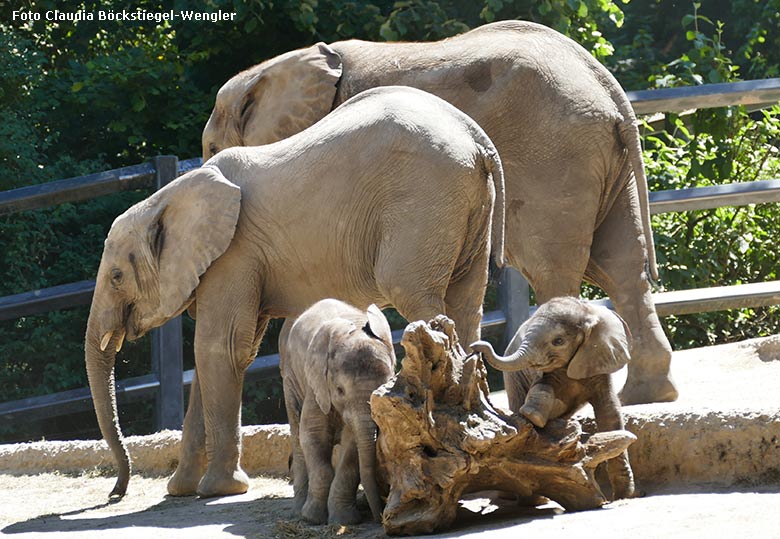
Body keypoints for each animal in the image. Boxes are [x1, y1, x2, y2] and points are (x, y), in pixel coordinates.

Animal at [82, 86, 502, 500]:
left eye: (116, 276)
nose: (115, 493)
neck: (165, 199)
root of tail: (477, 139)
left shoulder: (234, 252)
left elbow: (220, 348)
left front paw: (219, 489)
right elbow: (215, 357)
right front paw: (181, 490)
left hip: (423, 202)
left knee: (415, 294)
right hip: (466, 210)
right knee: (467, 303)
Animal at [201, 19, 676, 408]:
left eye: (210, 147)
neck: (278, 67)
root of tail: (608, 88)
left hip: (555, 157)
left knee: (554, 268)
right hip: (602, 159)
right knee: (621, 264)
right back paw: (646, 394)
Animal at [278, 298, 396, 524]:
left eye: (385, 387)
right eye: (340, 390)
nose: (380, 517)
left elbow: (352, 448)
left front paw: (343, 521)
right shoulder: (317, 385)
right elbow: (312, 436)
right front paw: (312, 518)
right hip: (290, 378)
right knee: (297, 436)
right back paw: (298, 511)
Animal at [472, 298, 636, 500]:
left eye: (558, 341)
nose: (476, 346)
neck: (586, 311)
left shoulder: (598, 360)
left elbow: (609, 413)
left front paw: (624, 495)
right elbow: (543, 385)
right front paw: (532, 415)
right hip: (514, 378)